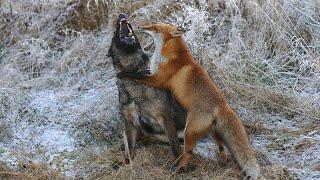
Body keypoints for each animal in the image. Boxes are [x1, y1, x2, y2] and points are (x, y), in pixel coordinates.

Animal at [117, 23, 260, 179]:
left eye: (155, 26)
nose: (139, 26)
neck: (170, 54)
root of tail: (223, 104)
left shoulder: (158, 79)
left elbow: (136, 75)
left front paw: (123, 73)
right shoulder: (153, 74)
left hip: (189, 131)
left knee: (188, 151)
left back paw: (176, 167)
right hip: (210, 129)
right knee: (220, 143)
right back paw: (222, 160)